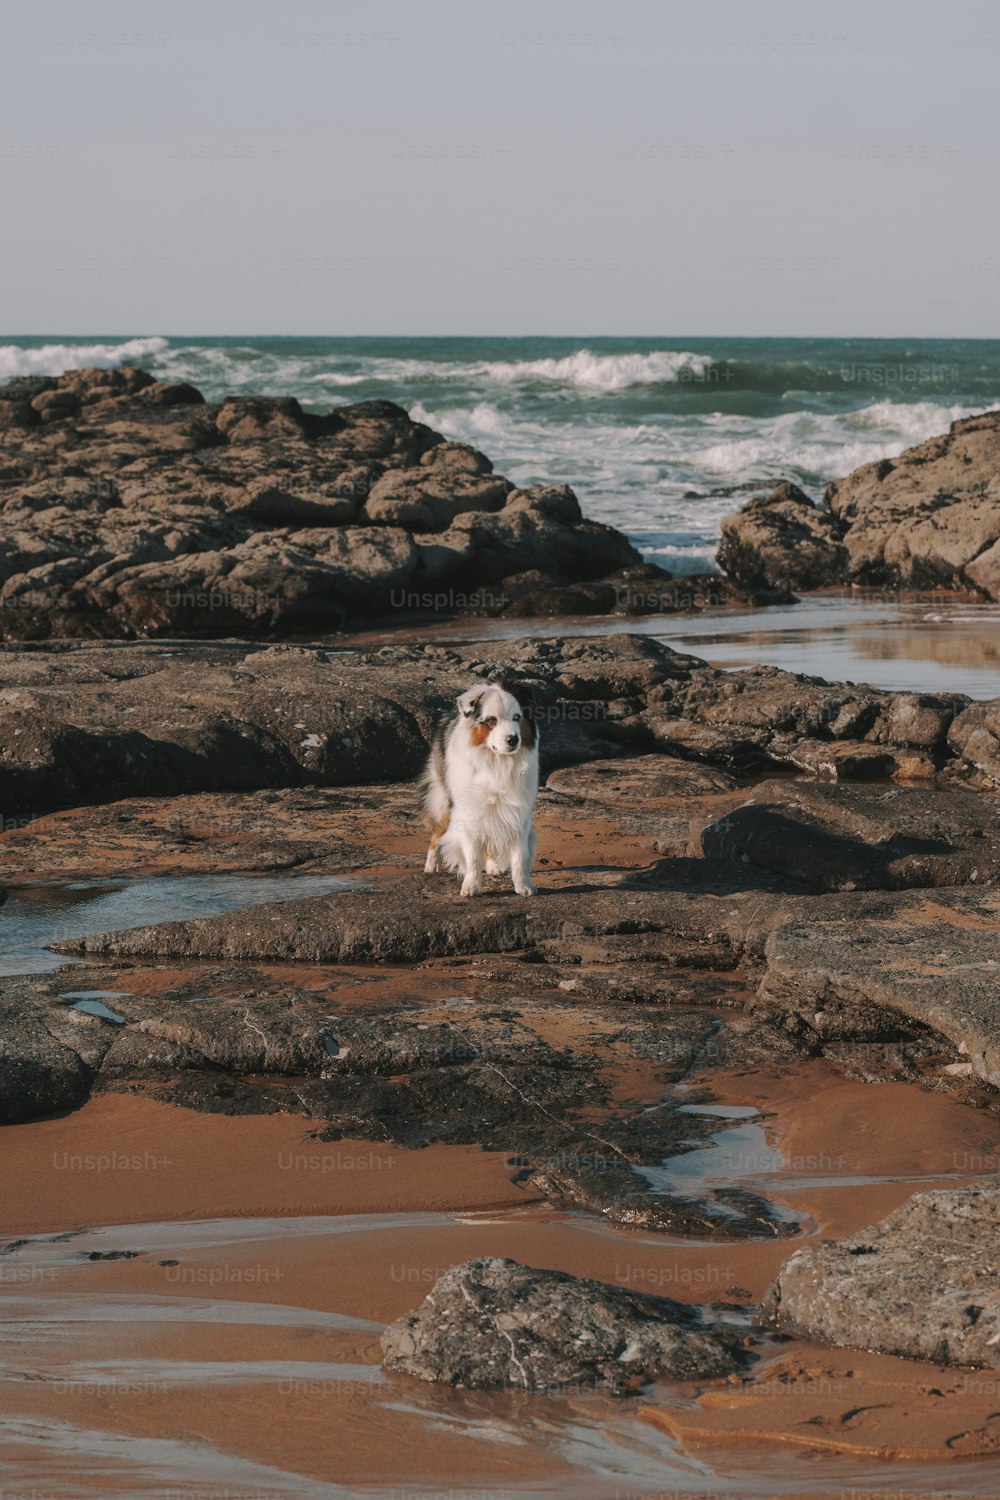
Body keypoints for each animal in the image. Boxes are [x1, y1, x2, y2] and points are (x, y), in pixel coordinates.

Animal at [425, 687, 542, 894]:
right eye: (492, 720)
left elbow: (520, 856)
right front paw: (471, 887)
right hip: (447, 800)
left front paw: (524, 886)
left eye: (517, 717)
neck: (497, 762)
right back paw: (431, 865)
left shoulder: (518, 813)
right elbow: (472, 857)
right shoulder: (469, 811)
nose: (513, 739)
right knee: (437, 832)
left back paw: (493, 866)